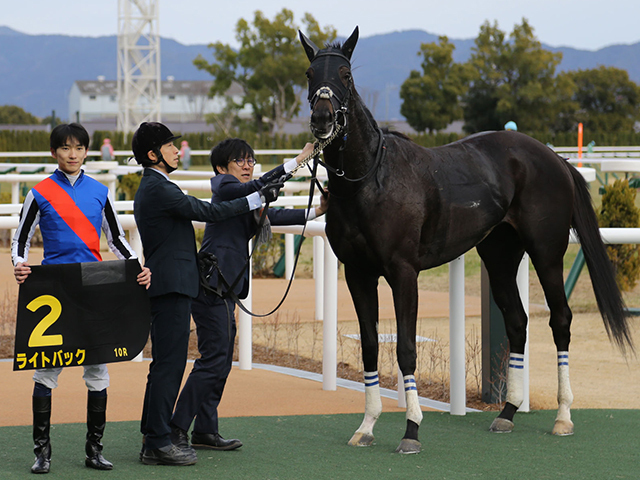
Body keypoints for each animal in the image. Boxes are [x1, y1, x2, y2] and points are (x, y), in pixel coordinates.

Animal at [298, 27, 632, 454]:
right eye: (310, 74)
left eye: (345, 74)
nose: (322, 119)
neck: (371, 180)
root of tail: (553, 158)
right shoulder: (358, 274)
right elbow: (370, 346)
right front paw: (367, 426)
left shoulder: (403, 273)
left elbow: (405, 349)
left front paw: (411, 430)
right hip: (499, 255)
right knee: (517, 322)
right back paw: (507, 412)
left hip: (546, 252)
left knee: (560, 320)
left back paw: (563, 416)